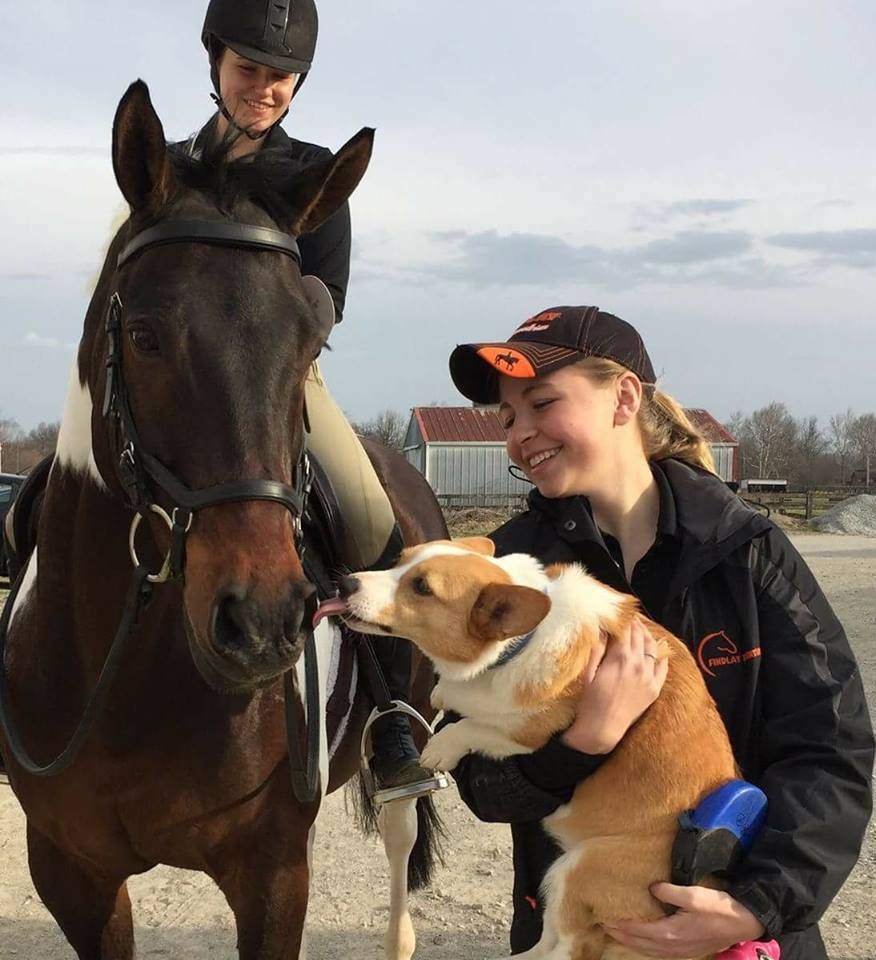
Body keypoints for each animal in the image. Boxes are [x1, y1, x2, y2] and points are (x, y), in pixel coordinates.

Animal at [0, 80, 446, 960]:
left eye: (312, 341)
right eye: (144, 335)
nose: (263, 622)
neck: (130, 670)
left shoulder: (271, 873)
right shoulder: (71, 871)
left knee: (401, 837)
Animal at [329, 536, 738, 960]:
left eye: (422, 587)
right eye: (400, 560)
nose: (344, 585)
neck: (520, 642)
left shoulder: (528, 733)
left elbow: (475, 726)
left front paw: (442, 743)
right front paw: (445, 692)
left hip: (580, 868)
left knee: (570, 946)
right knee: (550, 937)